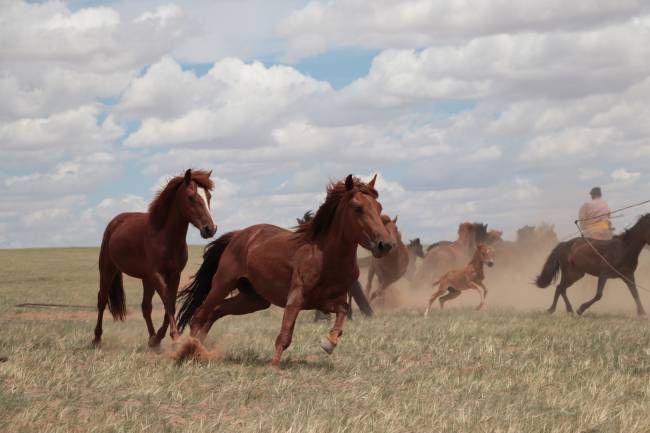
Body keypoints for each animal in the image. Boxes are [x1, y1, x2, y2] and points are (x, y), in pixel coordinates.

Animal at [92, 169, 216, 348]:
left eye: (209, 197)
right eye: (191, 197)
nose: (210, 229)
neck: (163, 236)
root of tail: (115, 222)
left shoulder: (174, 274)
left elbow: (170, 304)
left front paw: (159, 337)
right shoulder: (157, 274)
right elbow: (168, 302)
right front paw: (175, 337)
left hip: (146, 279)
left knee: (146, 307)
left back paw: (152, 340)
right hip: (108, 269)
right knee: (101, 300)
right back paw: (96, 339)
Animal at [173, 174, 394, 366]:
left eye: (379, 207)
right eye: (358, 208)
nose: (385, 245)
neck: (326, 257)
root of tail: (238, 235)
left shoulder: (328, 301)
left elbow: (343, 312)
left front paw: (328, 344)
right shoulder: (295, 299)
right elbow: (285, 334)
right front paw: (273, 367)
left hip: (254, 300)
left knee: (215, 312)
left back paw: (200, 349)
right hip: (222, 284)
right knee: (199, 315)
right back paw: (189, 351)